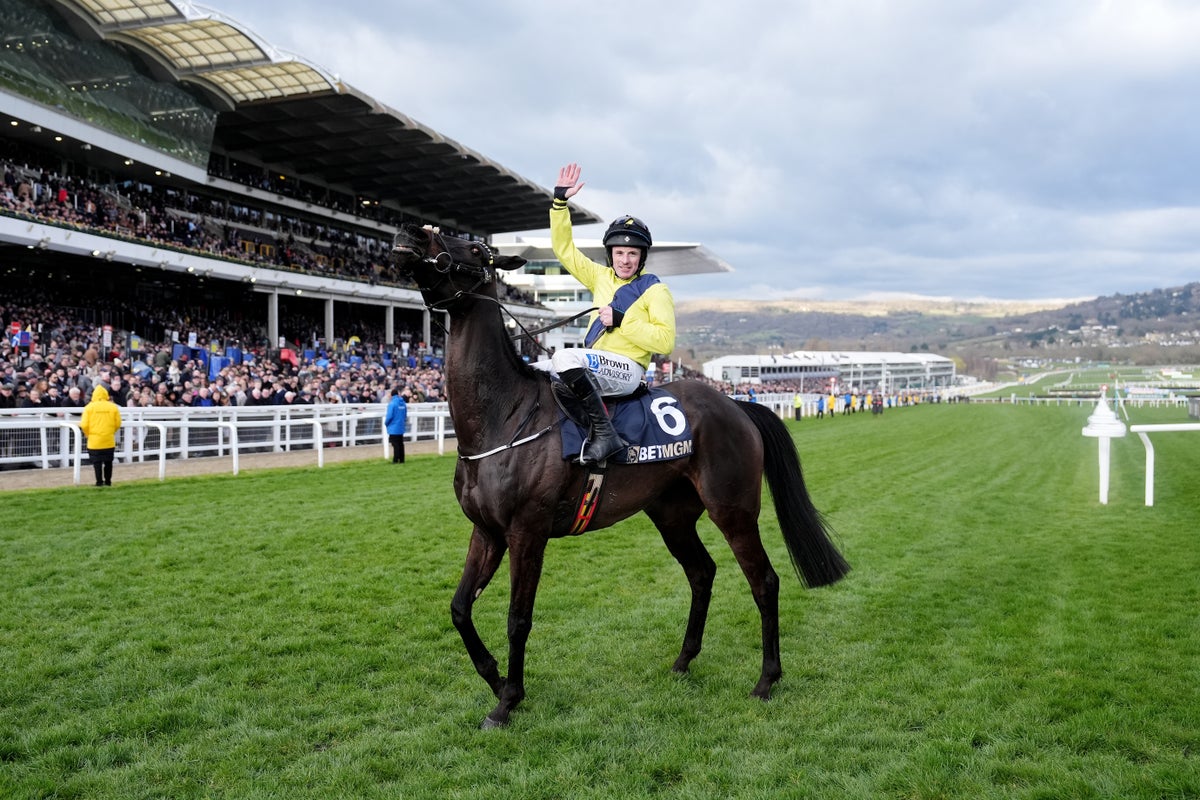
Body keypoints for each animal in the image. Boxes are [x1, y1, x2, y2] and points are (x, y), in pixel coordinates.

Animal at [388, 221, 849, 729]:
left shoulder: (527, 532)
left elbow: (517, 618)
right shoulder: (486, 531)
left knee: (764, 581)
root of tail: (736, 404)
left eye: (472, 248)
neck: (503, 415)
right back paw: (683, 661)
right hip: (672, 515)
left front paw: (508, 700)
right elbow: (459, 609)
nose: (410, 232)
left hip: (733, 509)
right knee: (702, 572)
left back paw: (766, 680)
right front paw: (495, 678)